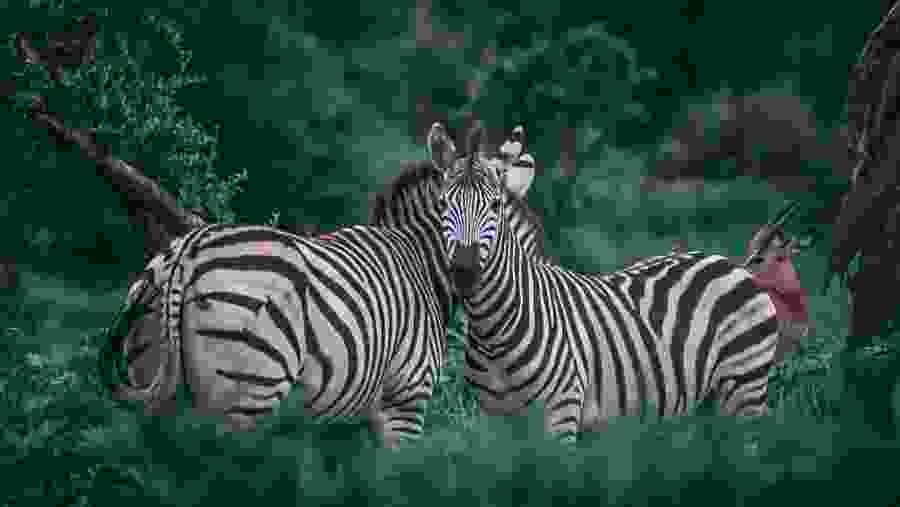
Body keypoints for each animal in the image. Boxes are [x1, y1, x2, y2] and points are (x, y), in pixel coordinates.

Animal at [104, 222, 445, 448]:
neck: (419, 265)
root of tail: (188, 250)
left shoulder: (341, 421)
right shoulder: (407, 398)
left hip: (158, 381)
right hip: (252, 390)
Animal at [428, 122, 780, 442]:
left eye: (495, 205)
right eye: (442, 204)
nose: (464, 271)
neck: (494, 333)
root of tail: (727, 262)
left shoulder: (560, 413)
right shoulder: (495, 422)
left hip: (744, 387)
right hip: (705, 405)